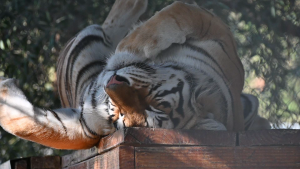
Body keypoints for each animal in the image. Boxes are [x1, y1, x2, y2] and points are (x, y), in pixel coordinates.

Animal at [0, 0, 272, 150]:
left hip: (84, 45)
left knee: (106, 26)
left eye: (150, 105)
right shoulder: (221, 38)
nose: (112, 82)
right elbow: (177, 13)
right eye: (122, 114)